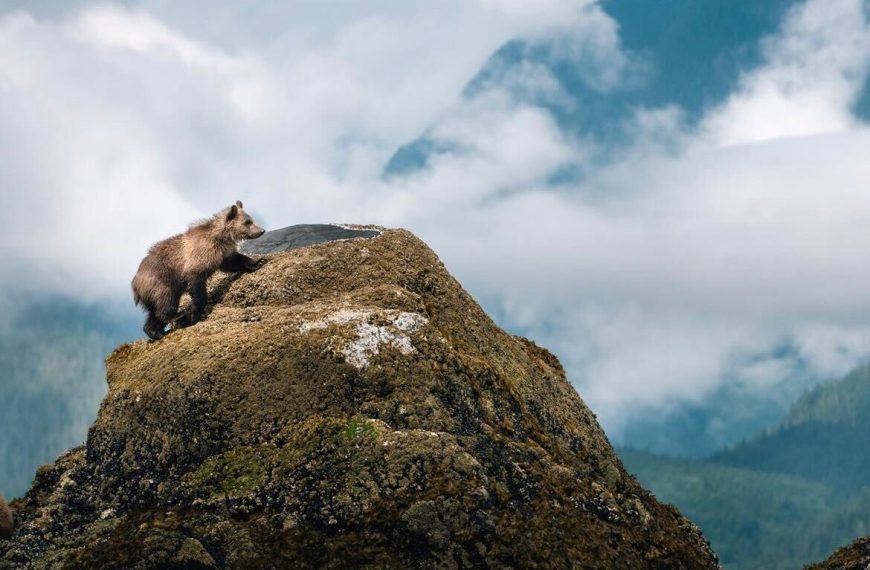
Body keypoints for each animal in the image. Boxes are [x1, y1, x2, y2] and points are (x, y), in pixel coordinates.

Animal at [132, 201, 266, 340]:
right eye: (247, 222)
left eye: (251, 220)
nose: (262, 230)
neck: (220, 237)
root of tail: (135, 283)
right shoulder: (199, 257)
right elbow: (196, 285)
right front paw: (195, 313)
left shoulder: (221, 254)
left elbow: (234, 261)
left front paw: (257, 262)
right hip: (162, 279)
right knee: (167, 300)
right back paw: (176, 315)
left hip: (152, 292)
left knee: (153, 312)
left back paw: (155, 332)